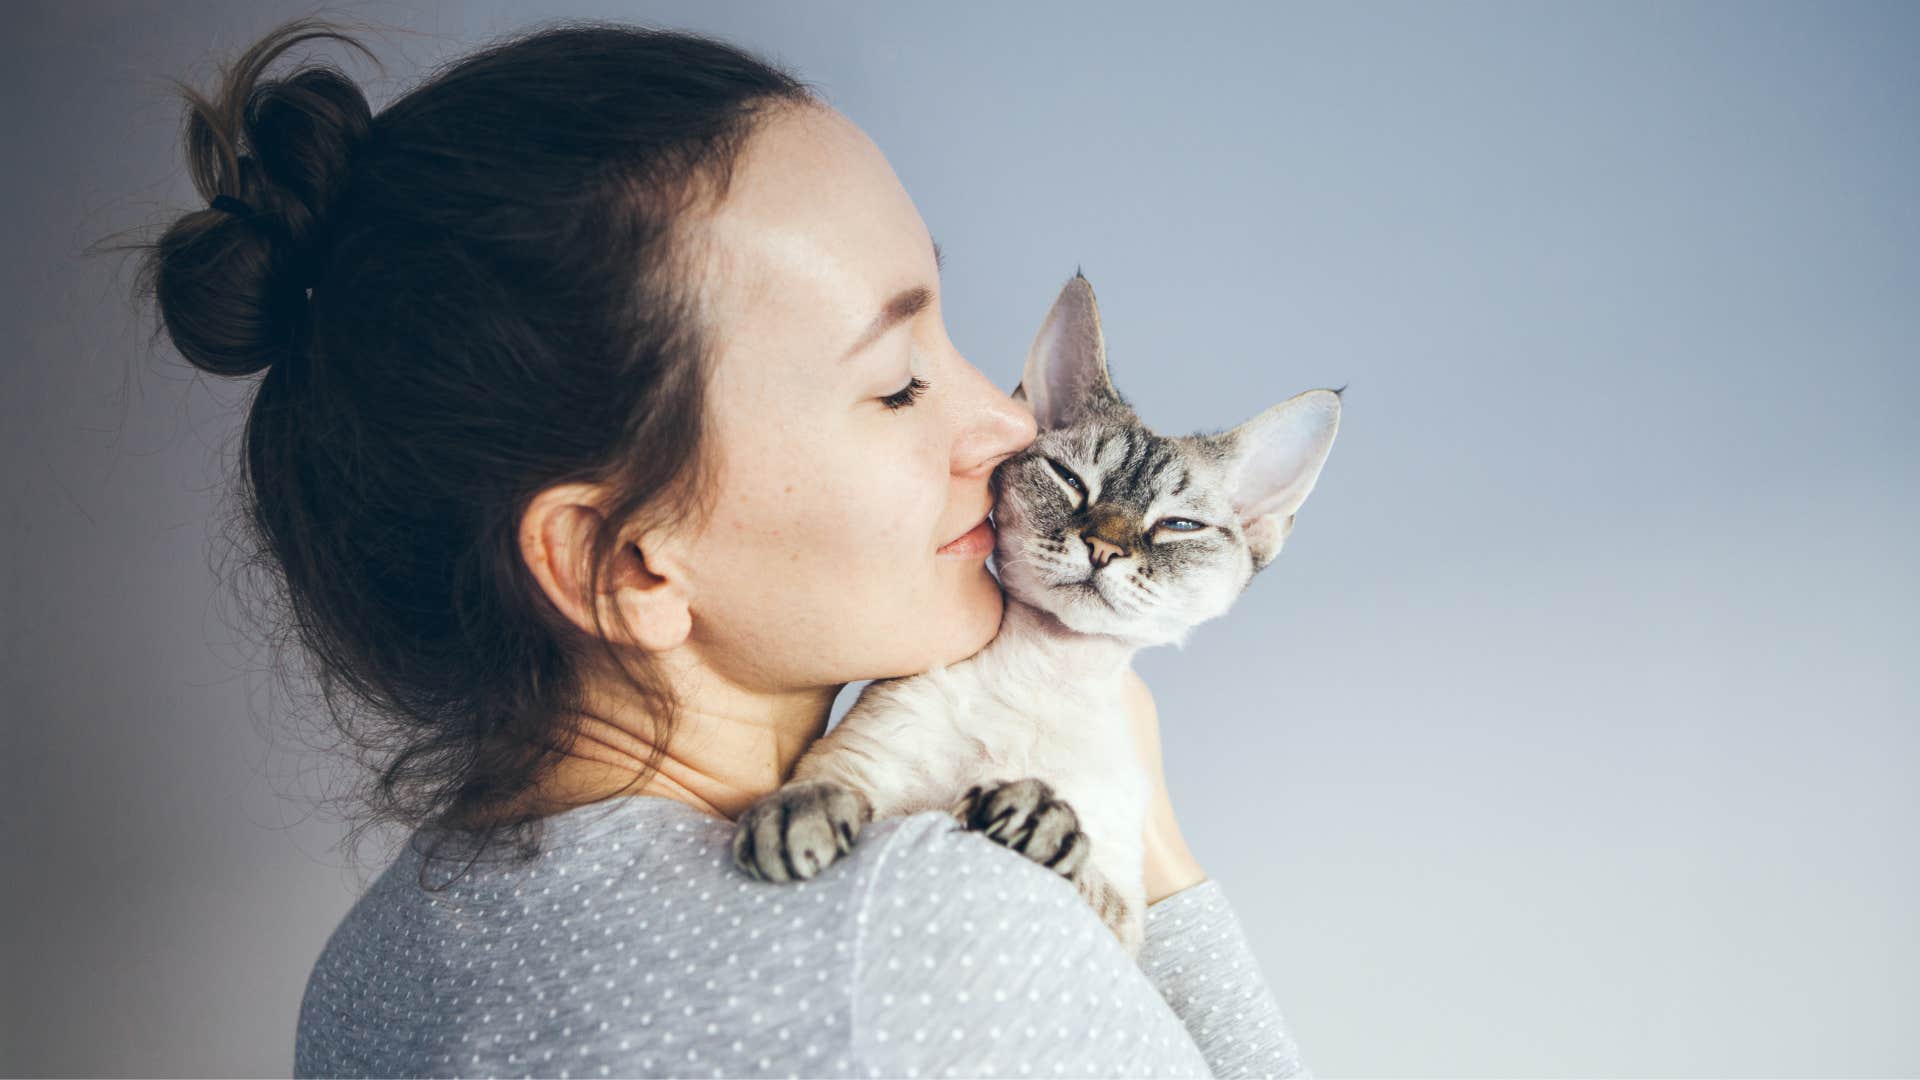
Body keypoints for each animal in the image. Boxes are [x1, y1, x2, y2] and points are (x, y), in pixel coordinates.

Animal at [725, 267, 1344, 949]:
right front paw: (798, 816)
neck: (1045, 674)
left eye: (1177, 526)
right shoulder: (862, 760)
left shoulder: (1122, 916)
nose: (1103, 548)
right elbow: (832, 786)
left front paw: (1036, 817)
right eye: (1071, 482)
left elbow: (1085, 870)